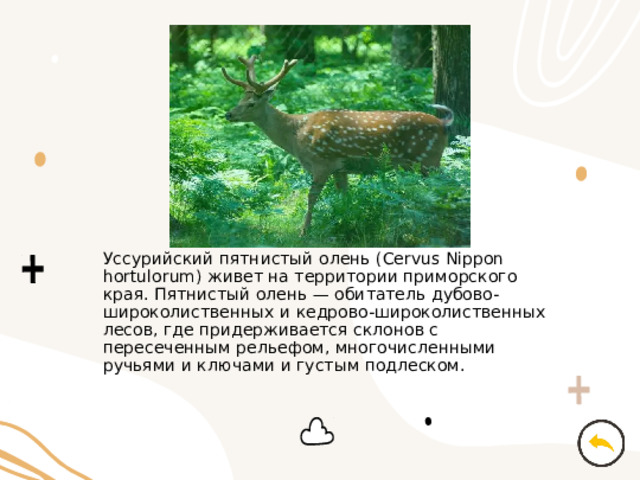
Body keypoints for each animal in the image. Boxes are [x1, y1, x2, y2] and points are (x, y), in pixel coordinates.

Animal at [222, 55, 454, 235]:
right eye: (240, 99)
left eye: (251, 104)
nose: (229, 114)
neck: (295, 137)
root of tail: (443, 123)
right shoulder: (340, 167)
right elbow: (345, 196)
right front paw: (349, 221)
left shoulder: (322, 162)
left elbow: (311, 197)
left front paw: (304, 231)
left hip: (428, 158)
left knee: (445, 184)